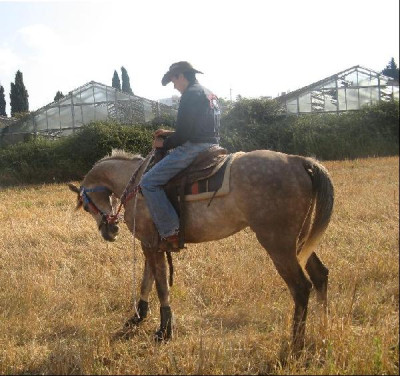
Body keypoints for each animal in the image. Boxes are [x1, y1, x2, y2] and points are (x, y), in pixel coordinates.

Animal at [69, 148, 334, 352]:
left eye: (86, 206)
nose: (109, 231)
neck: (136, 183)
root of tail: (298, 161)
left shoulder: (151, 244)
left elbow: (160, 285)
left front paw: (164, 331)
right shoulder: (150, 243)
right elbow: (147, 279)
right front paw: (137, 317)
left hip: (278, 244)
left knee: (301, 288)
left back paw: (295, 346)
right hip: (299, 241)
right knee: (320, 275)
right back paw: (323, 331)